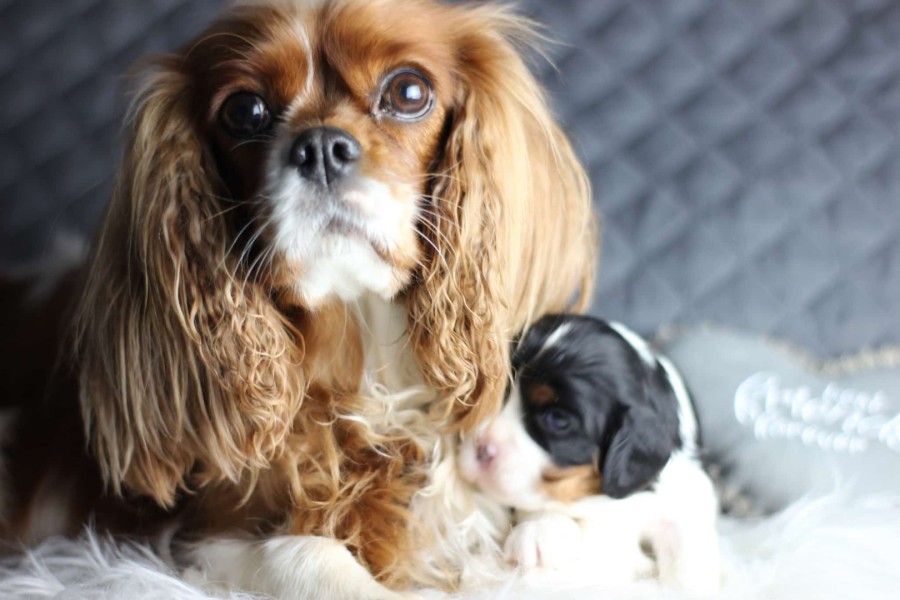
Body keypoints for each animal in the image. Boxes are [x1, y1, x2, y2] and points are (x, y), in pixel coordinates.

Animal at [0, 1, 598, 598]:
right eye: (245, 111)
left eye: (409, 91)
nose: (320, 147)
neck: (369, 362)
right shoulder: (195, 538)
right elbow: (308, 554)